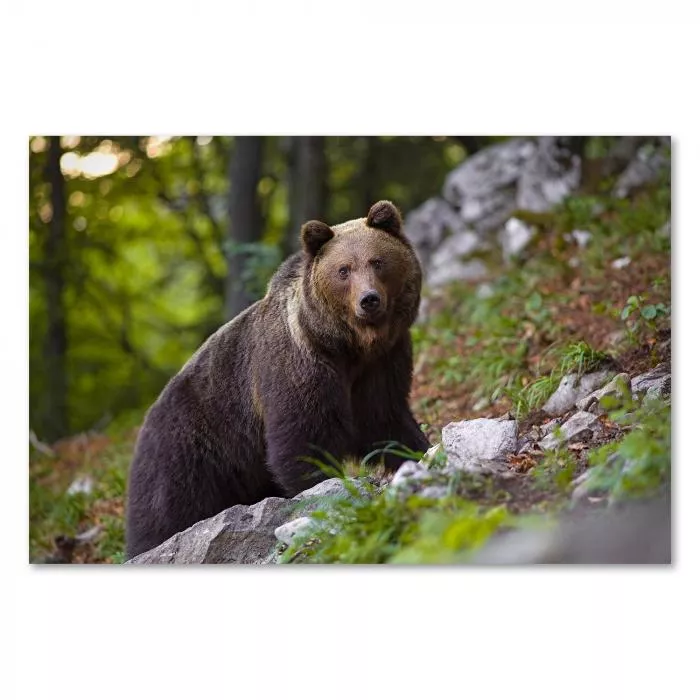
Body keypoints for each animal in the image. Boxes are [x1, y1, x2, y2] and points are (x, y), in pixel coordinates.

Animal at [128, 201, 430, 556]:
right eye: (344, 270)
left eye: (377, 261)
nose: (368, 299)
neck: (347, 346)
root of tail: (144, 423)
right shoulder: (298, 366)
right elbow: (303, 439)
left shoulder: (382, 364)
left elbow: (386, 420)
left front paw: (419, 451)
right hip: (186, 452)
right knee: (166, 513)